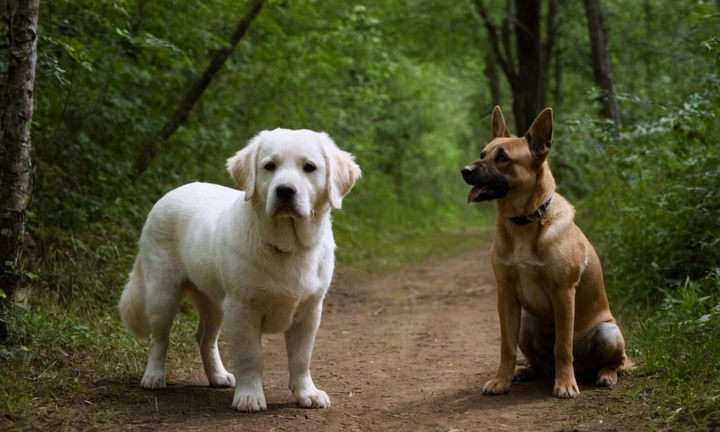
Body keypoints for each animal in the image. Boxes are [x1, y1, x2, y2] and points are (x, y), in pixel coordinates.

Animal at [121, 128, 366, 412]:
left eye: (309, 167)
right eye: (270, 166)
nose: (285, 191)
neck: (287, 246)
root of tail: (167, 195)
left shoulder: (310, 310)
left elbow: (301, 358)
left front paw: (307, 393)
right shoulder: (243, 308)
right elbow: (251, 356)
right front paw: (249, 397)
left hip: (213, 301)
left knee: (204, 337)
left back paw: (218, 375)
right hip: (163, 292)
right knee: (160, 337)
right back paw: (153, 376)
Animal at [462, 105, 624, 398]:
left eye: (502, 158)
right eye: (482, 154)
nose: (464, 170)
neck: (524, 222)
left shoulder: (563, 293)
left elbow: (563, 346)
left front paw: (565, 384)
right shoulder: (505, 295)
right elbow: (506, 347)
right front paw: (501, 380)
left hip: (608, 332)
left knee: (617, 362)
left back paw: (604, 375)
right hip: (525, 326)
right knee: (539, 364)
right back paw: (525, 372)